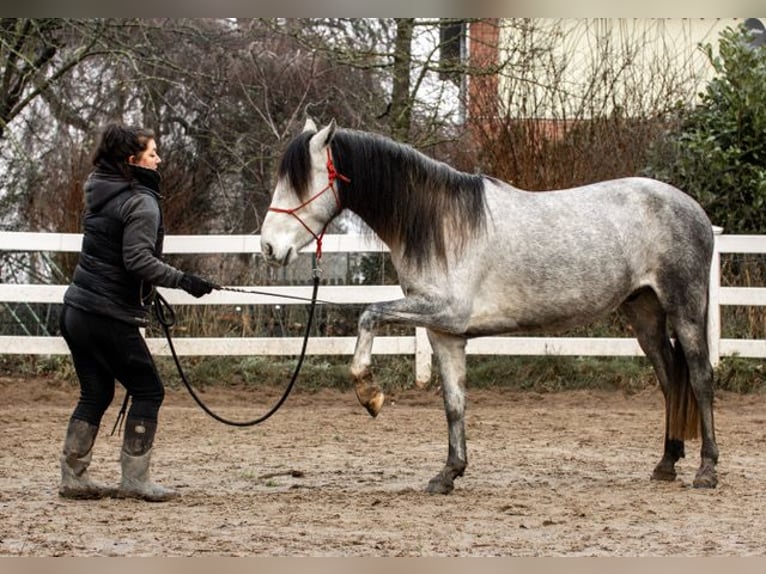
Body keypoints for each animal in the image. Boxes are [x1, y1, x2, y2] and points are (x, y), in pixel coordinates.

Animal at [262, 118, 720, 496]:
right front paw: (449, 473)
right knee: (670, 380)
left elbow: (369, 313)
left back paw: (707, 470)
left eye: (300, 184)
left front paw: (369, 394)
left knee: (699, 378)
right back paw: (666, 464)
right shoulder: (445, 332)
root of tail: (695, 211)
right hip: (644, 314)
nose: (269, 247)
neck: (440, 223)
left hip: (685, 308)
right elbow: (454, 402)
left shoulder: (444, 311)